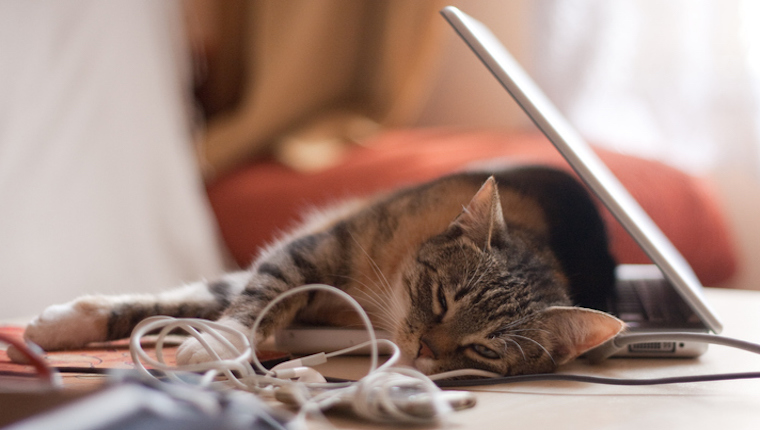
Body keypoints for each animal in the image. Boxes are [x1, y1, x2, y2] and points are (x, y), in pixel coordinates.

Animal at [17, 166, 624, 374]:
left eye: (487, 350)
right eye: (442, 296)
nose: (426, 348)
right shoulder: (316, 249)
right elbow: (259, 289)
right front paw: (224, 340)